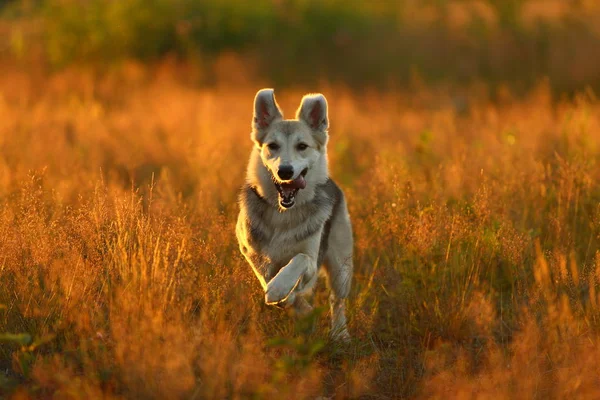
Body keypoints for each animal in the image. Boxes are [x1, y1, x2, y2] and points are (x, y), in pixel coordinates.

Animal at [237, 88, 354, 340]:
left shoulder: (310, 260)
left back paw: (340, 334)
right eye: (272, 146)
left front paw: (280, 288)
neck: (282, 214)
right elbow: (266, 275)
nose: (285, 171)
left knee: (337, 300)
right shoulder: (250, 252)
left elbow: (298, 260)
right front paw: (290, 300)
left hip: (341, 266)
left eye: (302, 146)